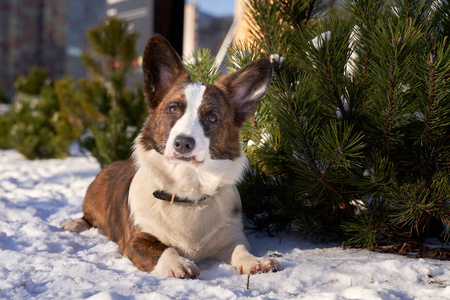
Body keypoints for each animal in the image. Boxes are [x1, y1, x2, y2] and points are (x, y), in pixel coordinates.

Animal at [61, 34, 280, 278]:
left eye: (212, 117)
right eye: (173, 109)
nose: (183, 143)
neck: (187, 188)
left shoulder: (232, 237)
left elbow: (241, 249)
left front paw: (255, 262)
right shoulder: (136, 240)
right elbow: (165, 250)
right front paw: (179, 264)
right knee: (86, 217)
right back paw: (74, 224)